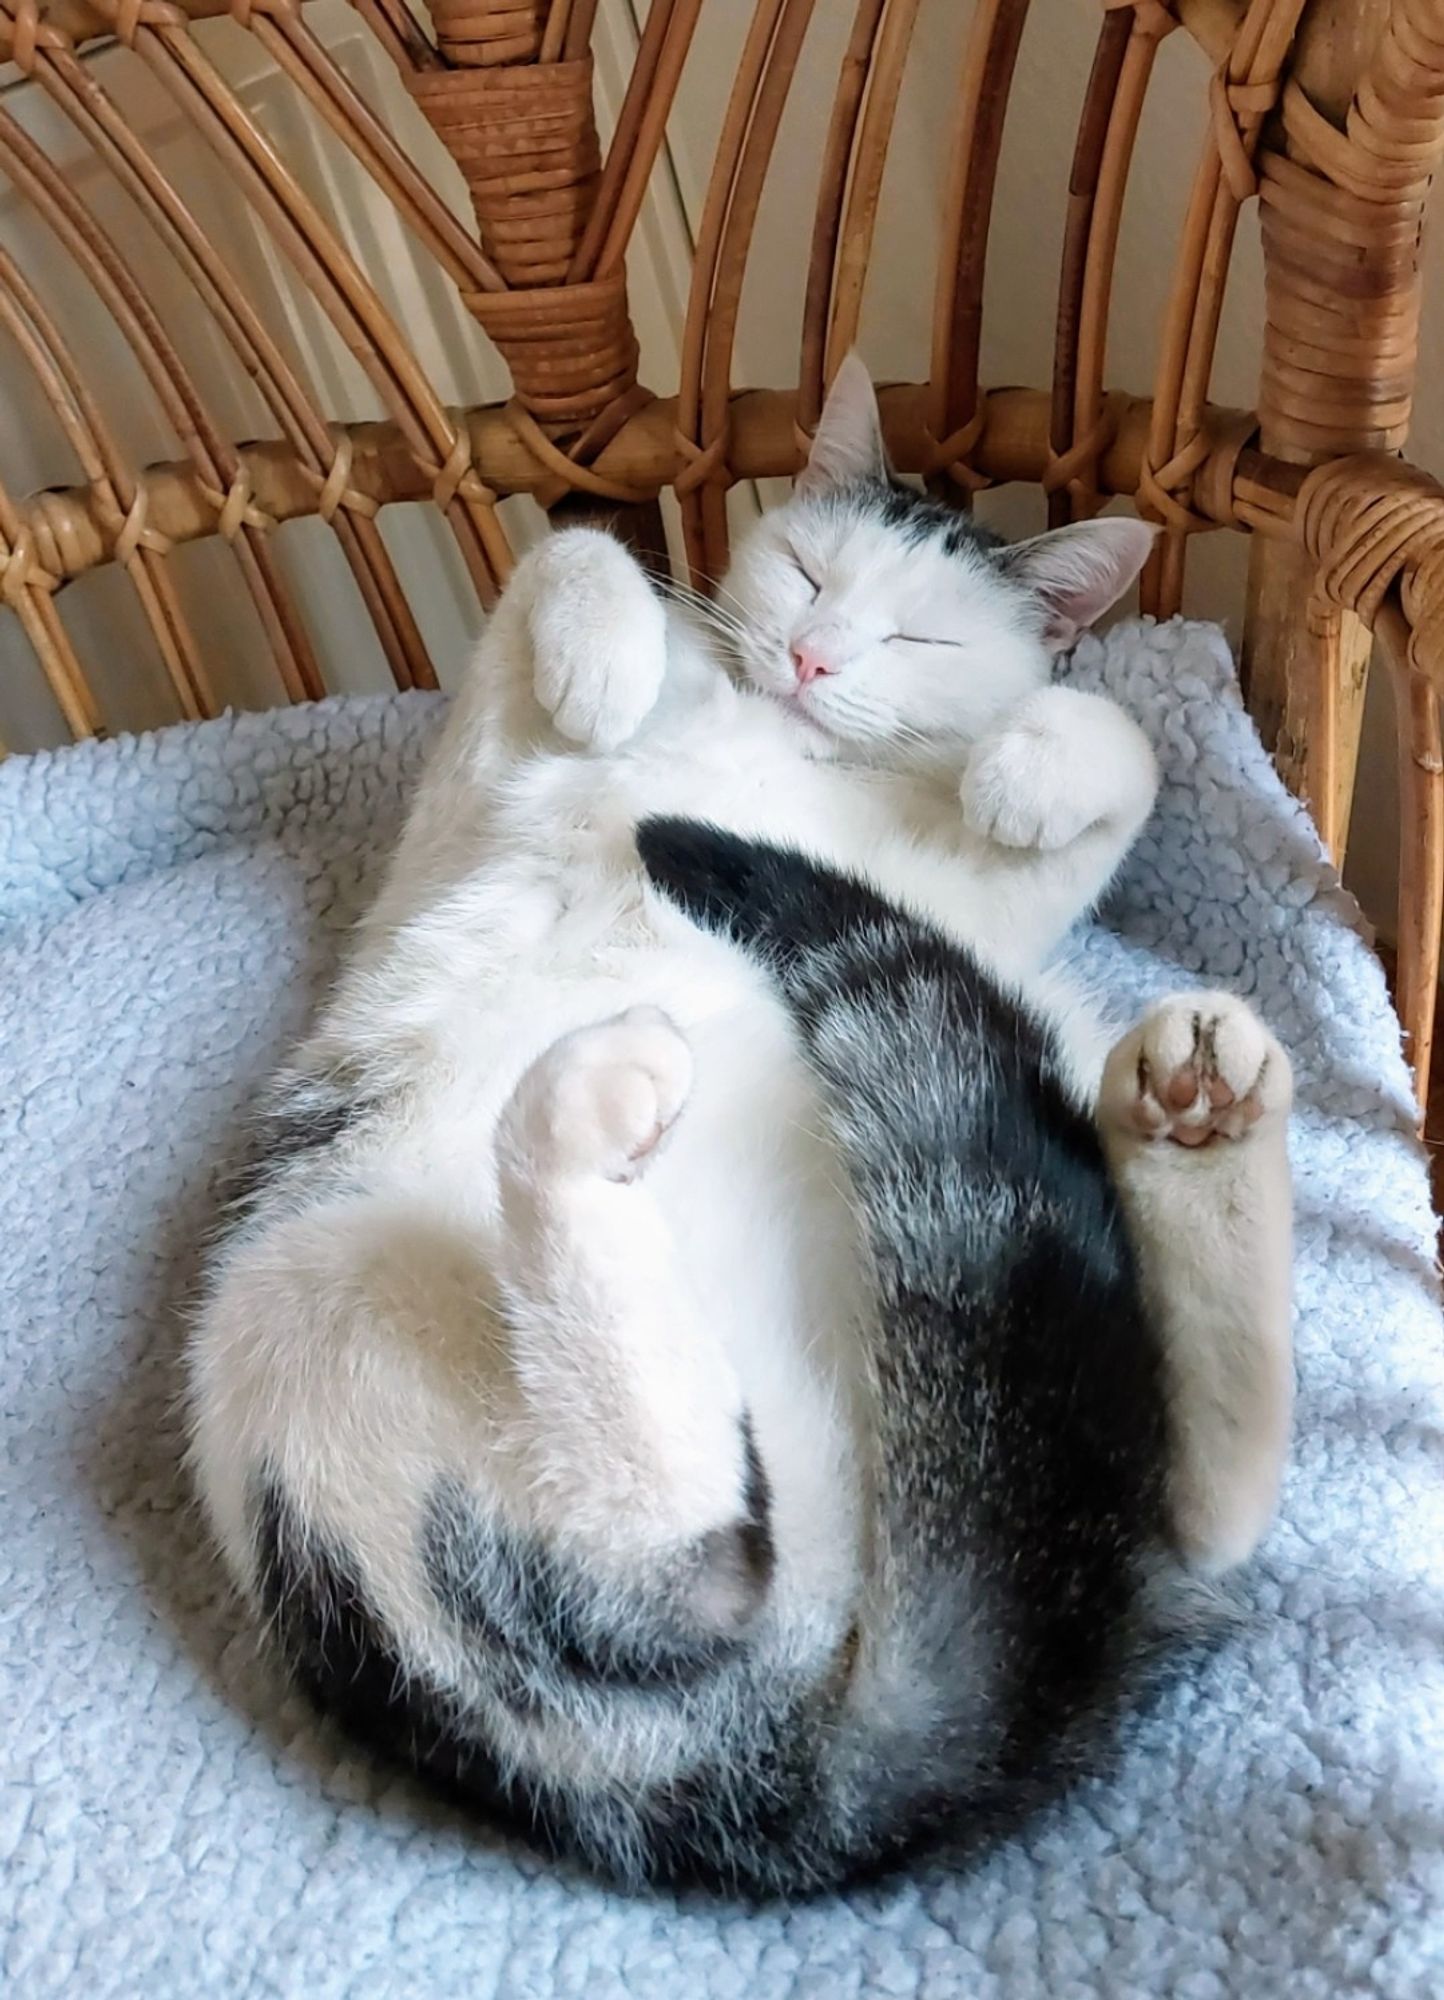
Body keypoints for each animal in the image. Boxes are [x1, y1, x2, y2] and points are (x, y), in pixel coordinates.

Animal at [186, 352, 1288, 1896]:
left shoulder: (965, 901)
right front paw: (606, 662)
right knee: (696, 1560)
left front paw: (1028, 766)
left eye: (920, 638)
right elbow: (563, 558)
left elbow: (1118, 753)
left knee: (740, 1552)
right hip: (296, 1316)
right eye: (811, 570)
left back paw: (1191, 1110)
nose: (816, 659)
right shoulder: (472, 790)